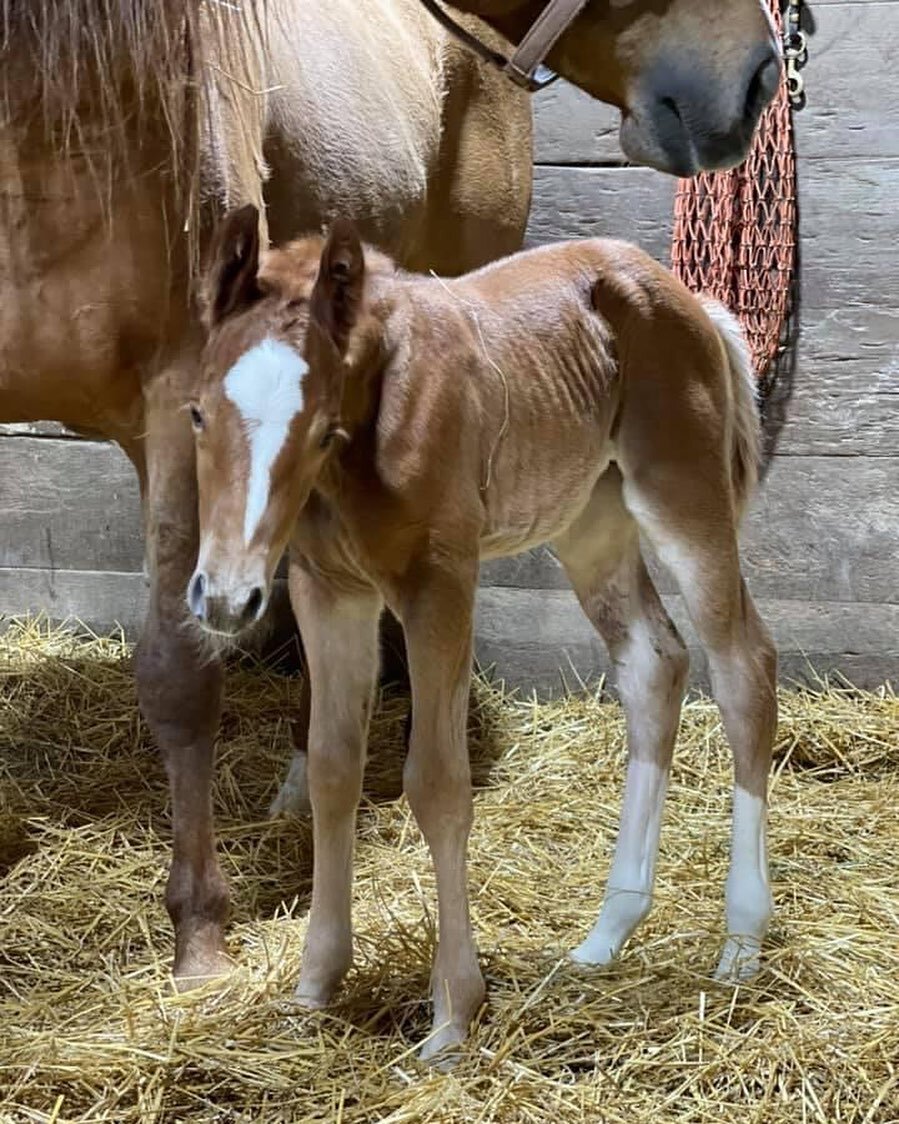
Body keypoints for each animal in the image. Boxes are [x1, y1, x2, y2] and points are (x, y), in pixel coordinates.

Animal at [189, 206, 777, 1056]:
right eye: (197, 411)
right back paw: (606, 935)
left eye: (322, 430)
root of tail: (691, 301)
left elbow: (436, 782)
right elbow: (332, 767)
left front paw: (452, 1016)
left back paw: (739, 943)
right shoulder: (328, 590)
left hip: (684, 497)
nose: (227, 599)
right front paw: (314, 987)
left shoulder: (439, 585)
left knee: (743, 670)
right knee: (653, 664)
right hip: (591, 523)